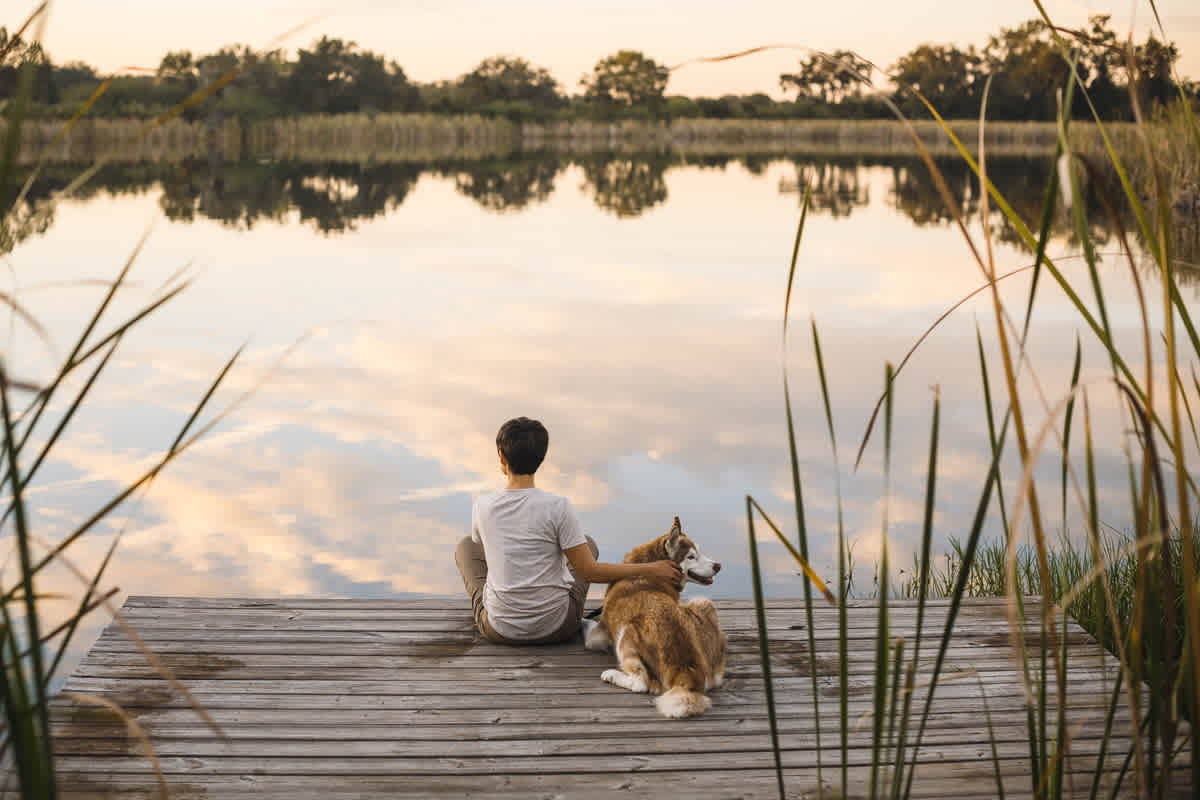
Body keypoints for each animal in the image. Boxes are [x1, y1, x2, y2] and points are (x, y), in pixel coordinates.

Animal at [580, 520, 720, 719]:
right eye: (692, 556)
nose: (718, 566)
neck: (648, 569)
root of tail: (686, 669)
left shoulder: (597, 637)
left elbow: (586, 624)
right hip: (704, 602)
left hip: (625, 633)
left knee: (641, 683)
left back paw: (612, 675)